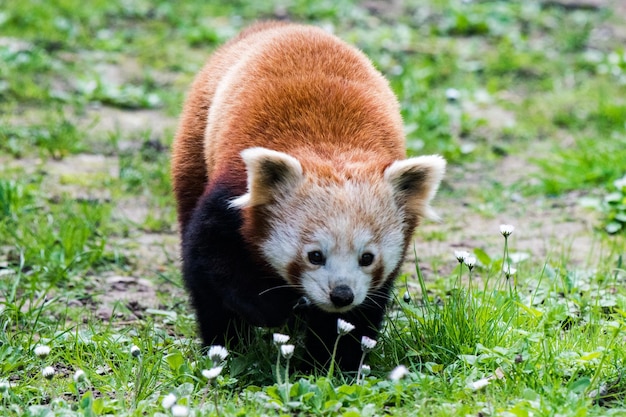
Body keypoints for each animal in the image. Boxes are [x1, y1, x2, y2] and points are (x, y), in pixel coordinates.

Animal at [171, 21, 444, 368]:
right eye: (315, 255)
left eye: (367, 257)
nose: (341, 294)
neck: (331, 149)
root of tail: (281, 25)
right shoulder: (228, 198)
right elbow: (211, 265)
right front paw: (271, 310)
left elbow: (357, 317)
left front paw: (332, 363)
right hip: (197, 137)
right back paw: (227, 344)